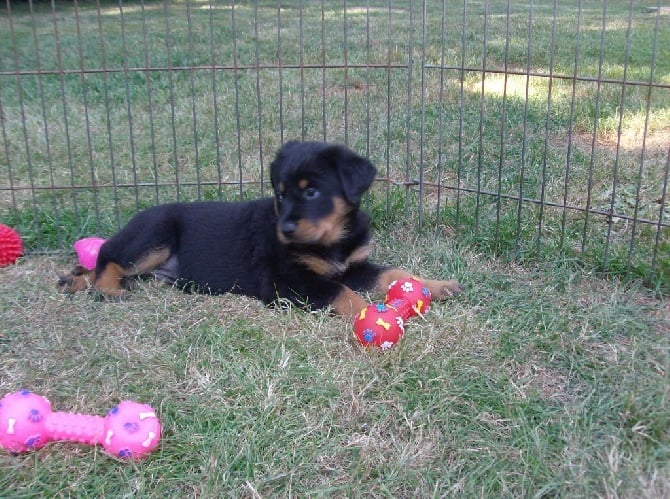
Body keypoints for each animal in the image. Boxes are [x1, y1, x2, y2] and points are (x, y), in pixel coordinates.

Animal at [59, 142, 462, 316]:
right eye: (280, 194)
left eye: (311, 192)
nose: (285, 229)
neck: (332, 241)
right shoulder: (288, 283)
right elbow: (341, 293)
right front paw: (372, 314)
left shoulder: (355, 265)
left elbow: (394, 273)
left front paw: (439, 285)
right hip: (153, 235)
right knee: (109, 255)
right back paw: (109, 289)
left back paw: (74, 281)